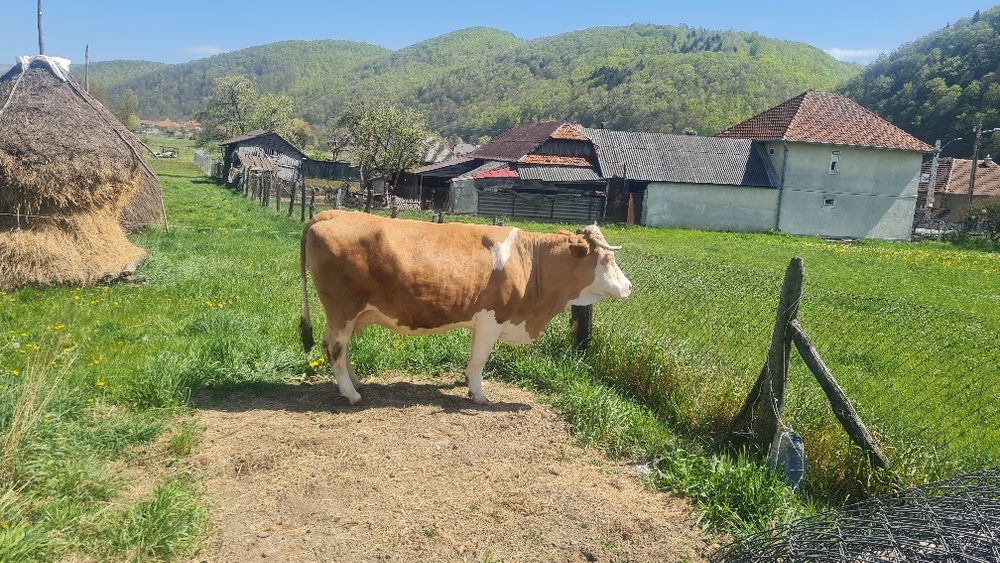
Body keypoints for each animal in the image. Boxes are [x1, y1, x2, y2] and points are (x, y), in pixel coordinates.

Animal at [299, 210, 632, 405]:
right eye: (607, 259)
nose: (629, 286)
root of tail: (329, 214)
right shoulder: (491, 320)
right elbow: (480, 360)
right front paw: (478, 394)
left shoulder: (480, 323)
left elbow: (473, 359)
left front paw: (468, 384)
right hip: (341, 309)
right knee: (335, 347)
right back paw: (351, 393)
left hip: (347, 314)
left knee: (341, 348)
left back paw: (354, 383)